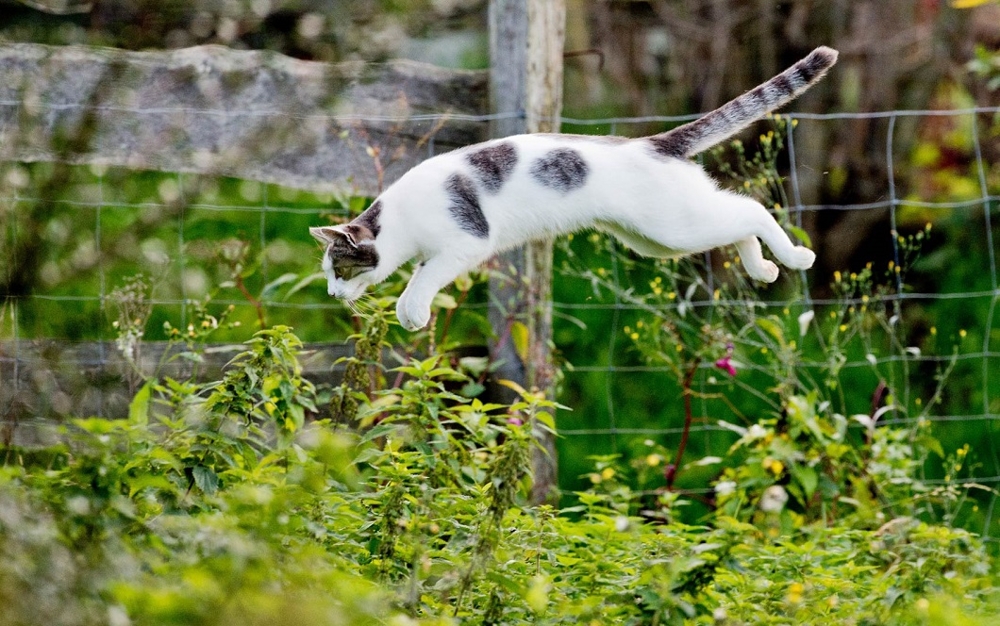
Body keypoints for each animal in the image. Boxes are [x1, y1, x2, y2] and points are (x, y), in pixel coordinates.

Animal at [310, 45, 836, 332]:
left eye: (340, 269)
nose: (333, 294)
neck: (401, 220)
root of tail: (653, 142)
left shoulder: (466, 242)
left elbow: (419, 281)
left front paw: (412, 312)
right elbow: (419, 275)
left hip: (674, 227)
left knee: (753, 210)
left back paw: (795, 258)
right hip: (658, 239)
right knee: (737, 217)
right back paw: (764, 269)